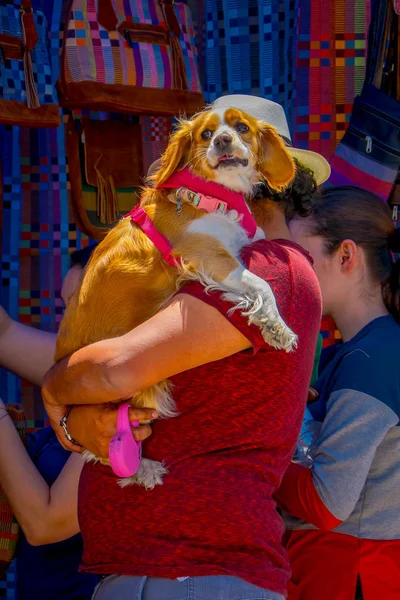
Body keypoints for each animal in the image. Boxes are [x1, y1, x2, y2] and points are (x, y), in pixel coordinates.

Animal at [54, 106, 296, 488]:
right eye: (205, 135)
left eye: (241, 127)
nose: (223, 140)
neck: (213, 195)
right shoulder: (208, 256)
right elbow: (262, 285)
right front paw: (277, 326)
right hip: (147, 387)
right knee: (103, 449)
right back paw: (143, 468)